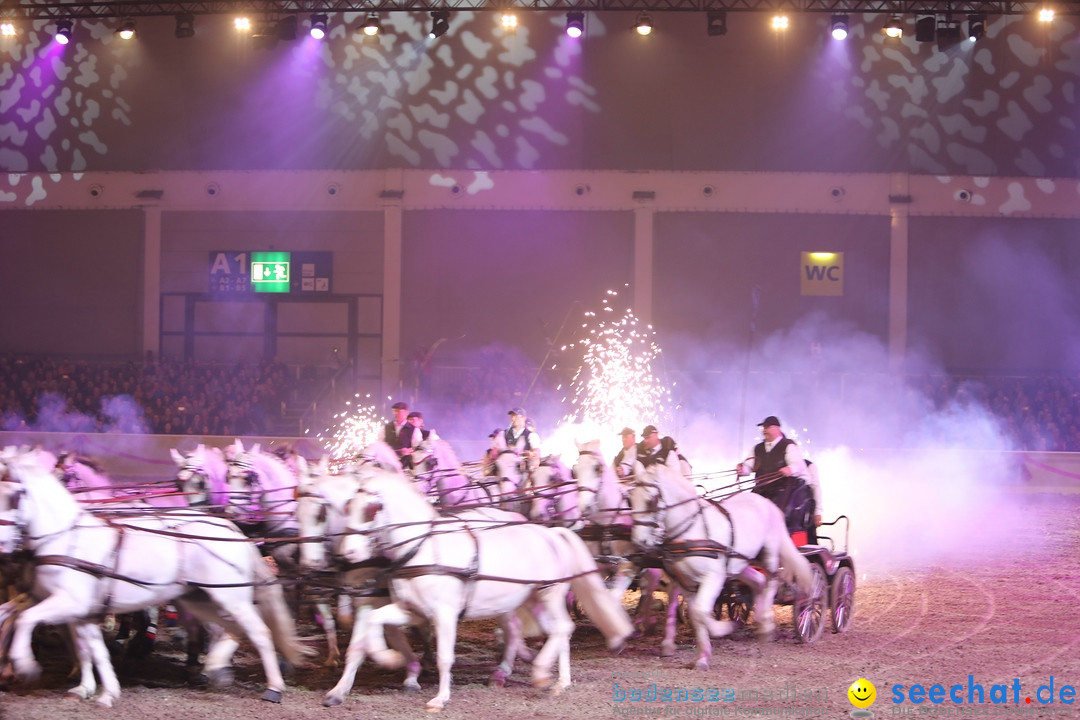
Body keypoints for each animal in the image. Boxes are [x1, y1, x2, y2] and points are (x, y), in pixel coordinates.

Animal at [0, 446, 308, 708]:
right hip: (201, 598)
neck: (66, 538)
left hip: (230, 598)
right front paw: (96, 690)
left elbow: (29, 620)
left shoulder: (69, 602)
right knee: (228, 629)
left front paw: (25, 664)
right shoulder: (79, 609)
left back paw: (273, 686)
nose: (4, 544)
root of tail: (231, 529)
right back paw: (213, 666)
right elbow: (90, 648)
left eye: (16, 495)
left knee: (258, 632)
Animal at [332, 468, 630, 708]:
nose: (347, 553)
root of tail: (552, 533)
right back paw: (557, 681)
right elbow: (374, 619)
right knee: (556, 631)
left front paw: (439, 699)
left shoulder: (445, 614)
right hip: (531, 598)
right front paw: (388, 658)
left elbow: (445, 656)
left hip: (550, 593)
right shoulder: (412, 611)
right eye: (347, 506)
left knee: (562, 628)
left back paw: (542, 674)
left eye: (371, 508)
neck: (423, 549)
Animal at [630, 462, 812, 669]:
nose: (639, 542)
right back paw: (758, 619)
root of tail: (767, 503)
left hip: (769, 552)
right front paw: (703, 656)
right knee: (758, 581)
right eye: (631, 500)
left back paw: (766, 623)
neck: (692, 531)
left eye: (651, 500)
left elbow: (701, 612)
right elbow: (696, 614)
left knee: (772, 580)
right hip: (739, 562)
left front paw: (723, 629)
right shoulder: (687, 583)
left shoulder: (714, 577)